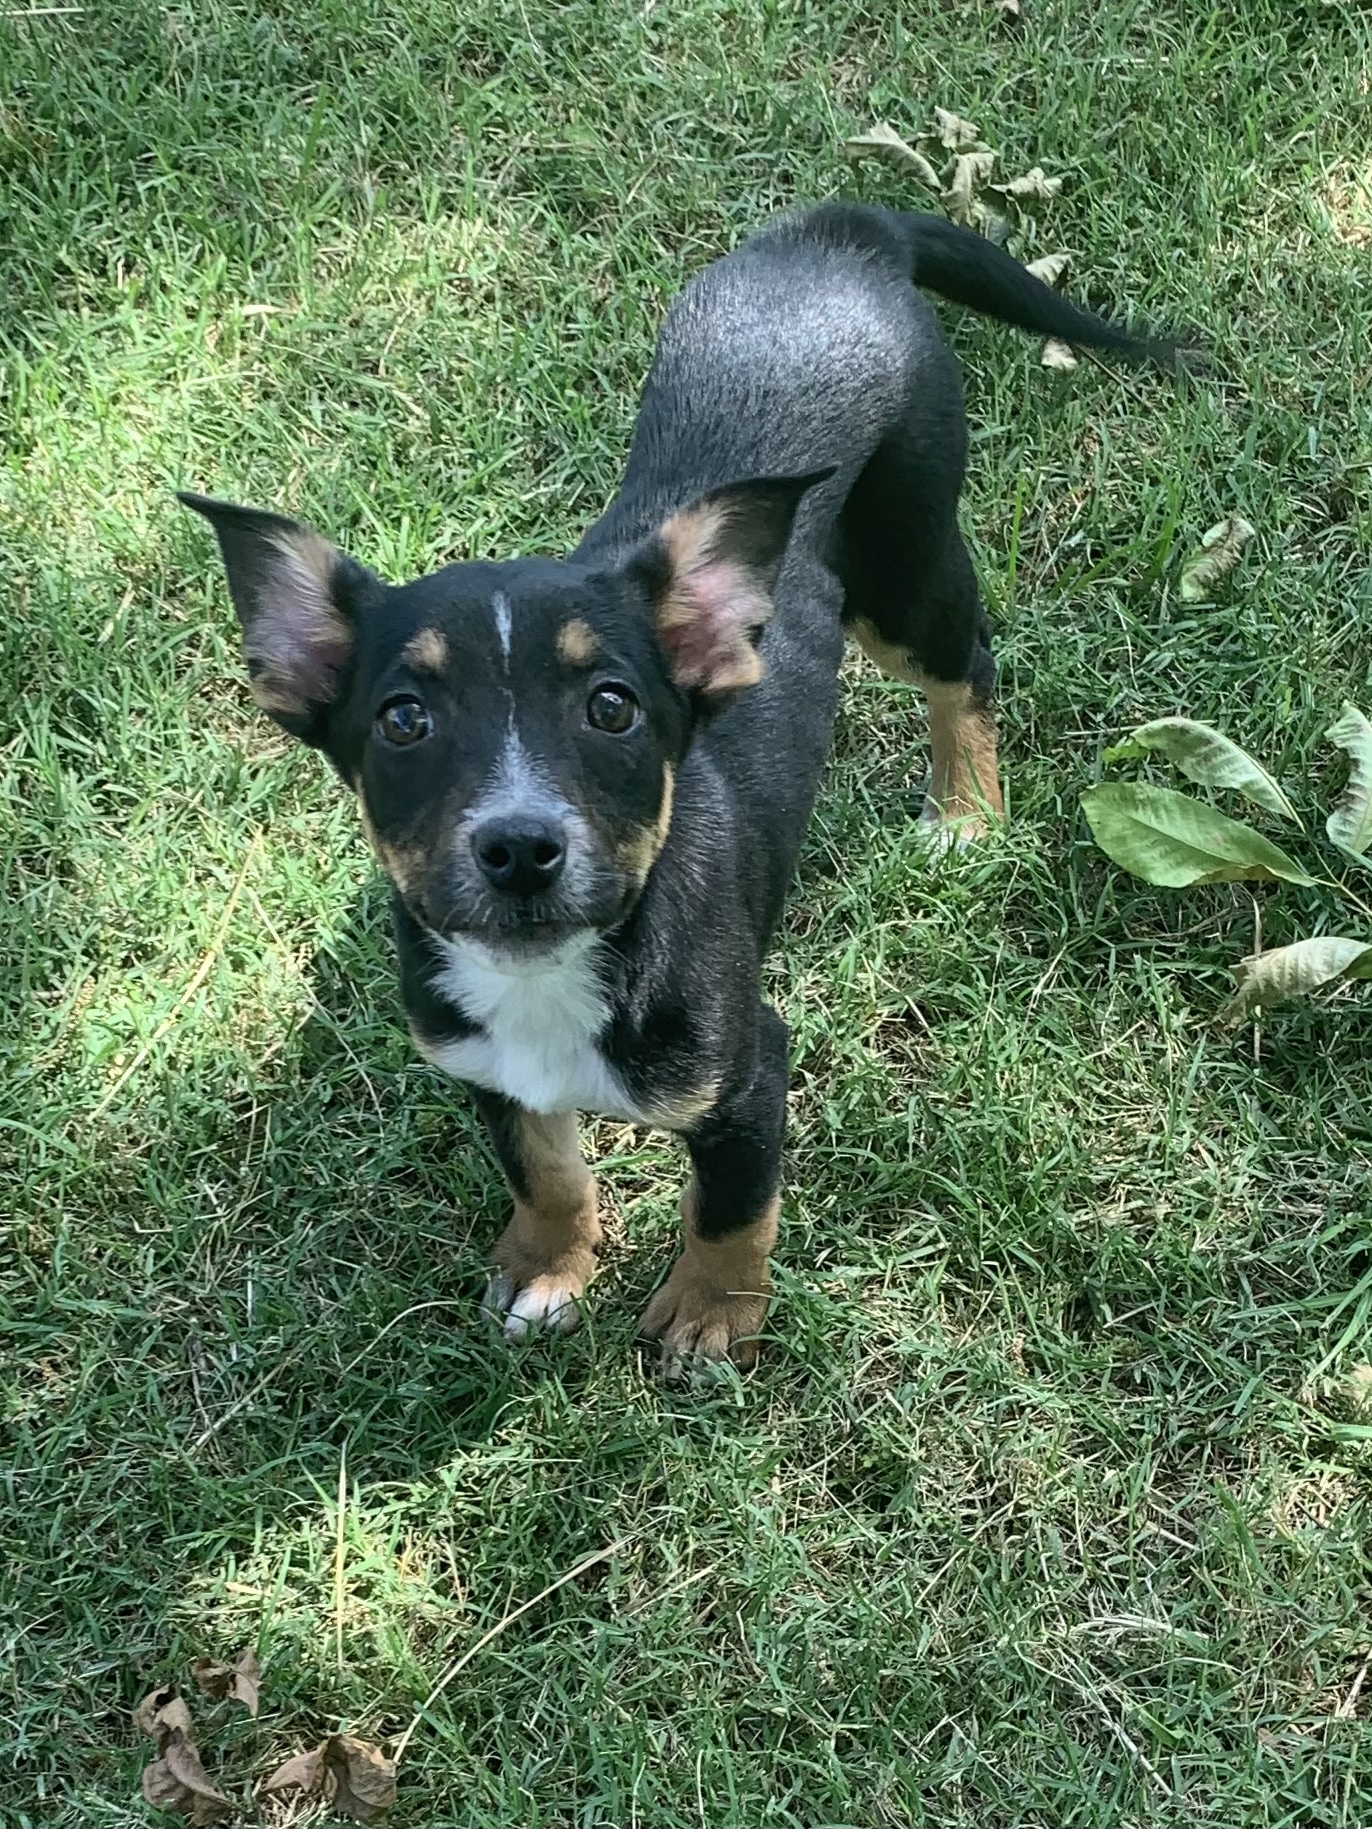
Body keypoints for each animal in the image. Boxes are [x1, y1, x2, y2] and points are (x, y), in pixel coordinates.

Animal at [180, 207, 1170, 1368]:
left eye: (612, 708)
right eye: (403, 720)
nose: (520, 848)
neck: (554, 974)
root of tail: (843, 229)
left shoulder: (748, 1075)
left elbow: (732, 1209)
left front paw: (710, 1313)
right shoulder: (483, 1066)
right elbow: (544, 1170)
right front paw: (548, 1267)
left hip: (906, 557)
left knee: (965, 664)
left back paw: (967, 811)